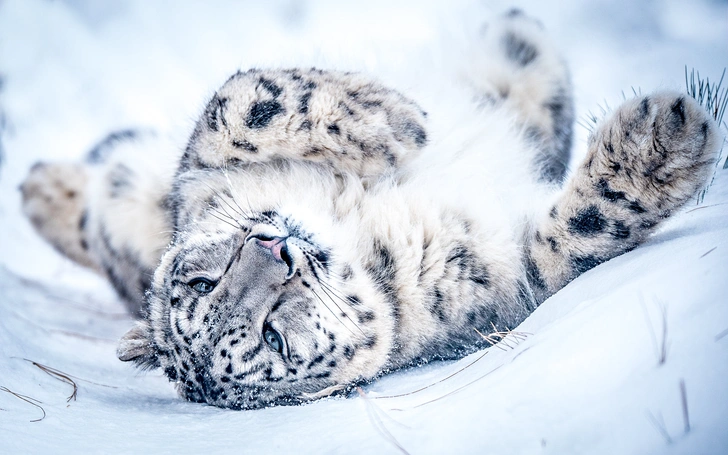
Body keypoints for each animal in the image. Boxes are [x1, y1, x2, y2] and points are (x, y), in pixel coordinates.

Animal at [21, 10, 724, 410]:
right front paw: (665, 140)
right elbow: (580, 234)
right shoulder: (511, 283)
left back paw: (41, 181)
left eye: (201, 280)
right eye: (274, 337)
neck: (351, 221)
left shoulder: (199, 173)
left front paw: (392, 119)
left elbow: (238, 101)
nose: (275, 248)